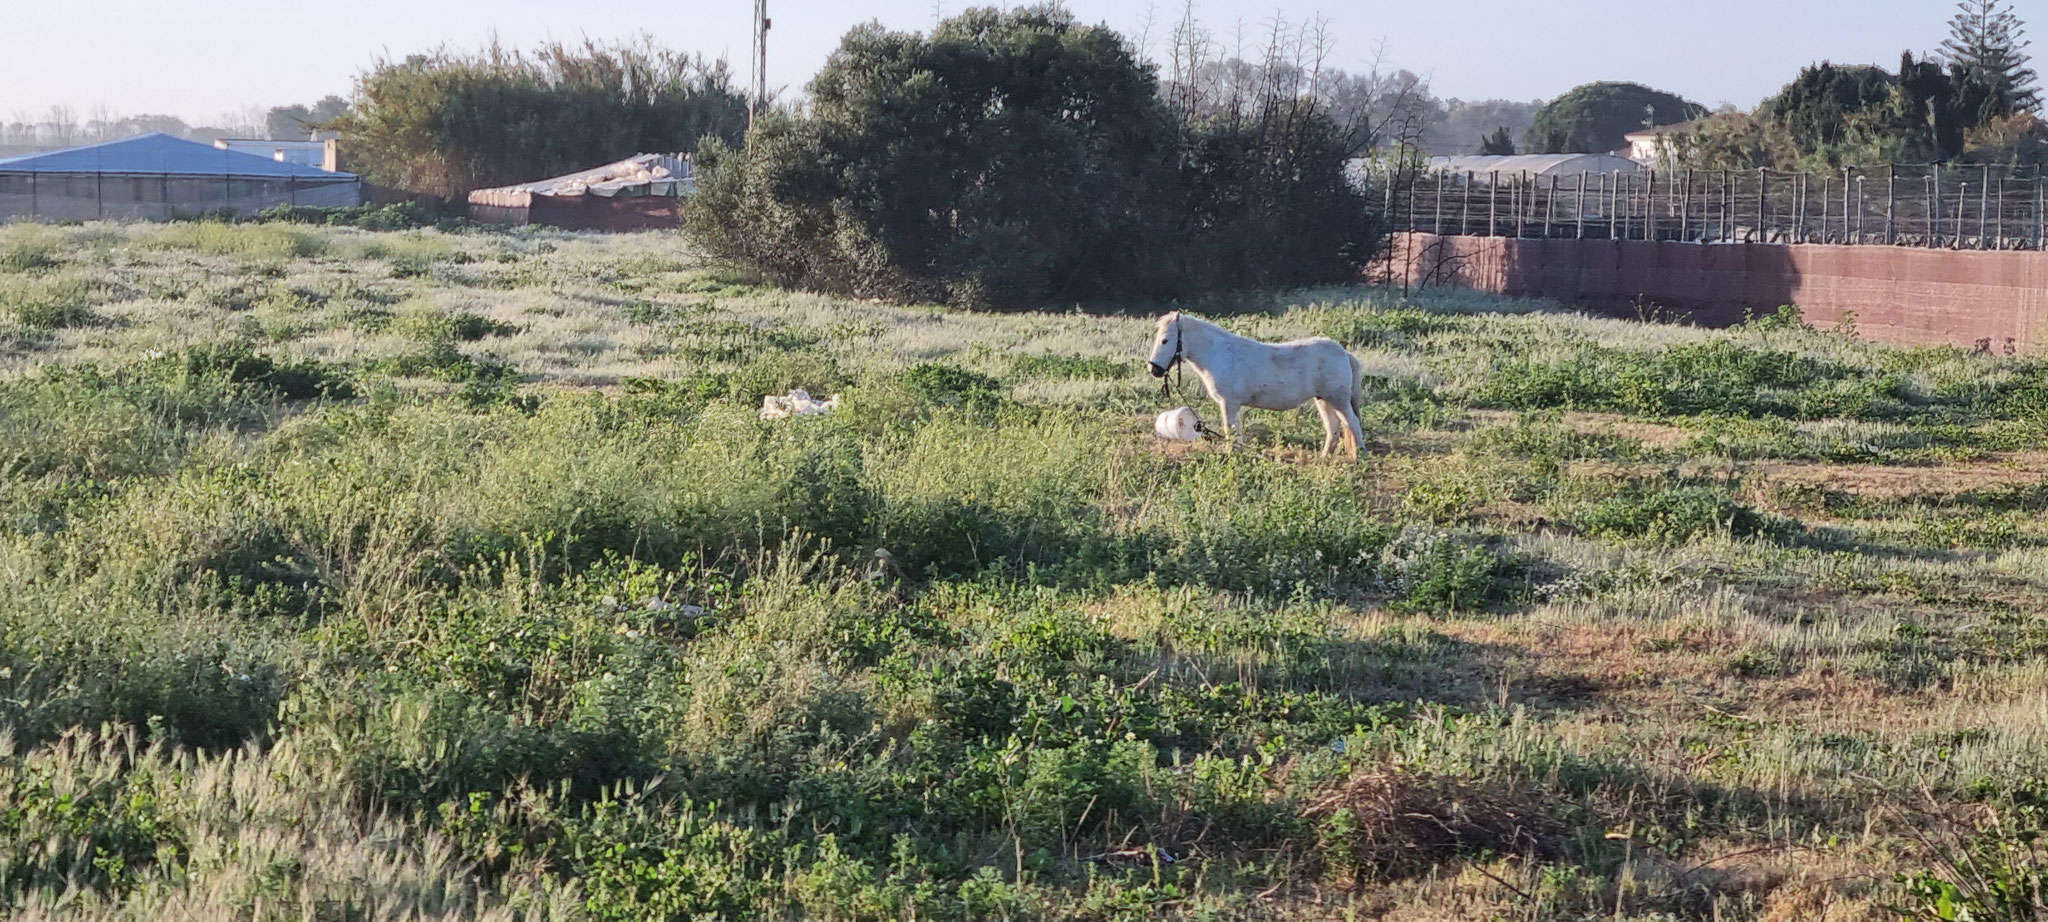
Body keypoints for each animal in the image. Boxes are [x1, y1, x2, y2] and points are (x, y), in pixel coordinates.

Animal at [1155, 311, 1359, 458]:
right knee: (1333, 429)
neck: (1220, 355)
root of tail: (1344, 353)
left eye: (1165, 340)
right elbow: (1236, 432)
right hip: (1324, 400)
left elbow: (1230, 430)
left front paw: (1231, 455)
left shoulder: (1228, 403)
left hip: (1338, 400)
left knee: (1353, 423)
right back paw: (1325, 458)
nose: (1154, 369)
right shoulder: (1232, 405)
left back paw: (1359, 457)